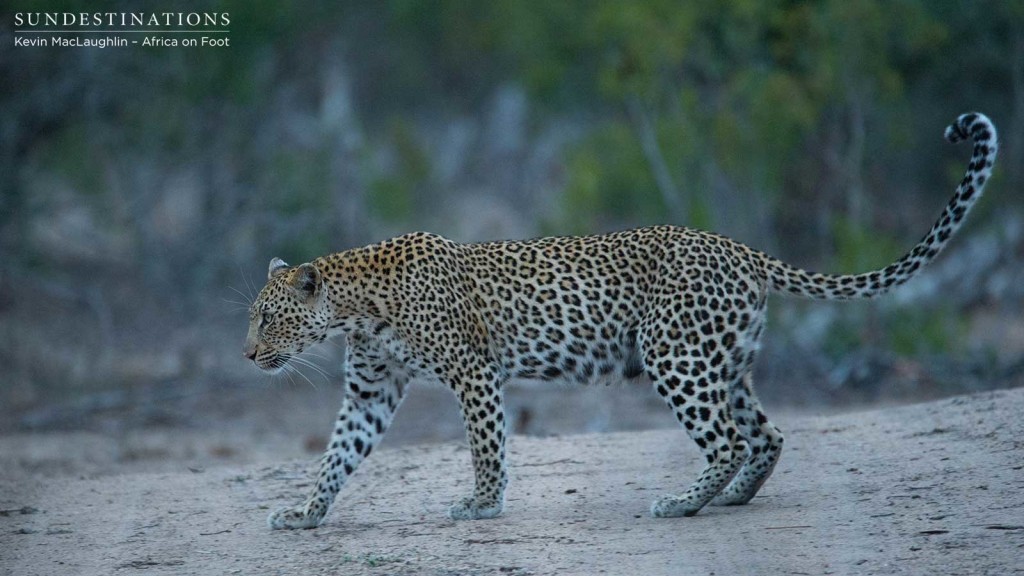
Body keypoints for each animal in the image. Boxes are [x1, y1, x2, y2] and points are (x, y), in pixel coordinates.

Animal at [247, 109, 999, 528]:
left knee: (728, 439)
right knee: (767, 434)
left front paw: (481, 505)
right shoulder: (371, 390)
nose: (248, 357)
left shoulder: (473, 373)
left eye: (267, 319)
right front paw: (306, 514)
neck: (355, 309)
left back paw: (682, 504)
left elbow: (487, 446)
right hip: (724, 361)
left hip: (674, 355)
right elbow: (338, 455)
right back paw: (730, 500)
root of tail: (740, 248)